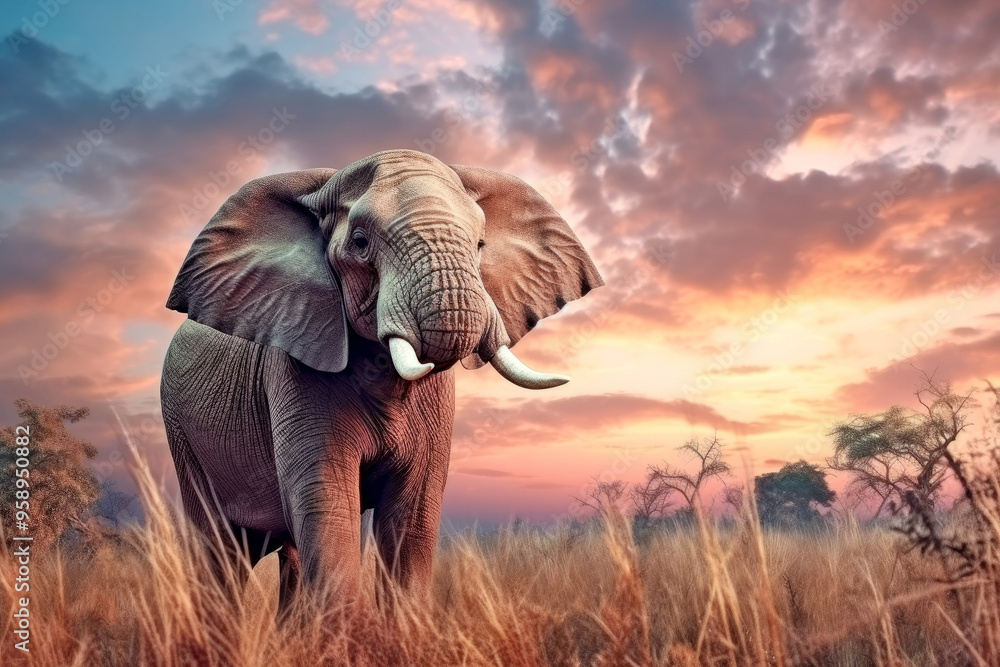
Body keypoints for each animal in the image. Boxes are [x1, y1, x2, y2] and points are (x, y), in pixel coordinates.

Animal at [160, 149, 603, 605]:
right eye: (360, 242)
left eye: (480, 244)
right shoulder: (294, 369)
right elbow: (327, 503)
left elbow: (413, 514)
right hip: (182, 433)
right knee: (219, 552)